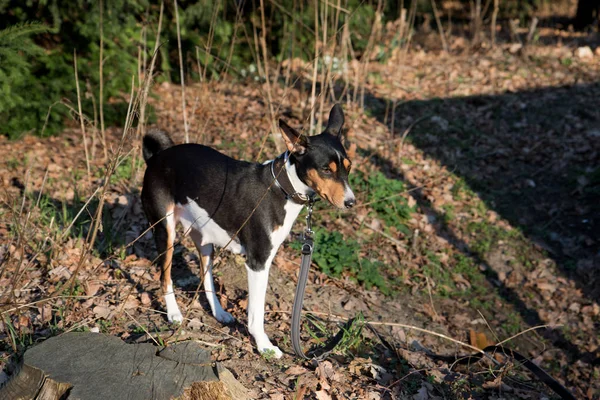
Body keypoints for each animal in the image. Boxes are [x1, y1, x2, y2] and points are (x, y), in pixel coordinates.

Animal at [139, 104, 356, 356]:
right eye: (326, 170)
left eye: (348, 168)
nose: (351, 202)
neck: (282, 187)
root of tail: (157, 157)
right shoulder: (258, 263)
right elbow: (256, 313)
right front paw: (264, 346)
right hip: (166, 232)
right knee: (165, 277)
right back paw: (174, 313)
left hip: (204, 239)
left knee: (206, 279)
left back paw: (219, 313)